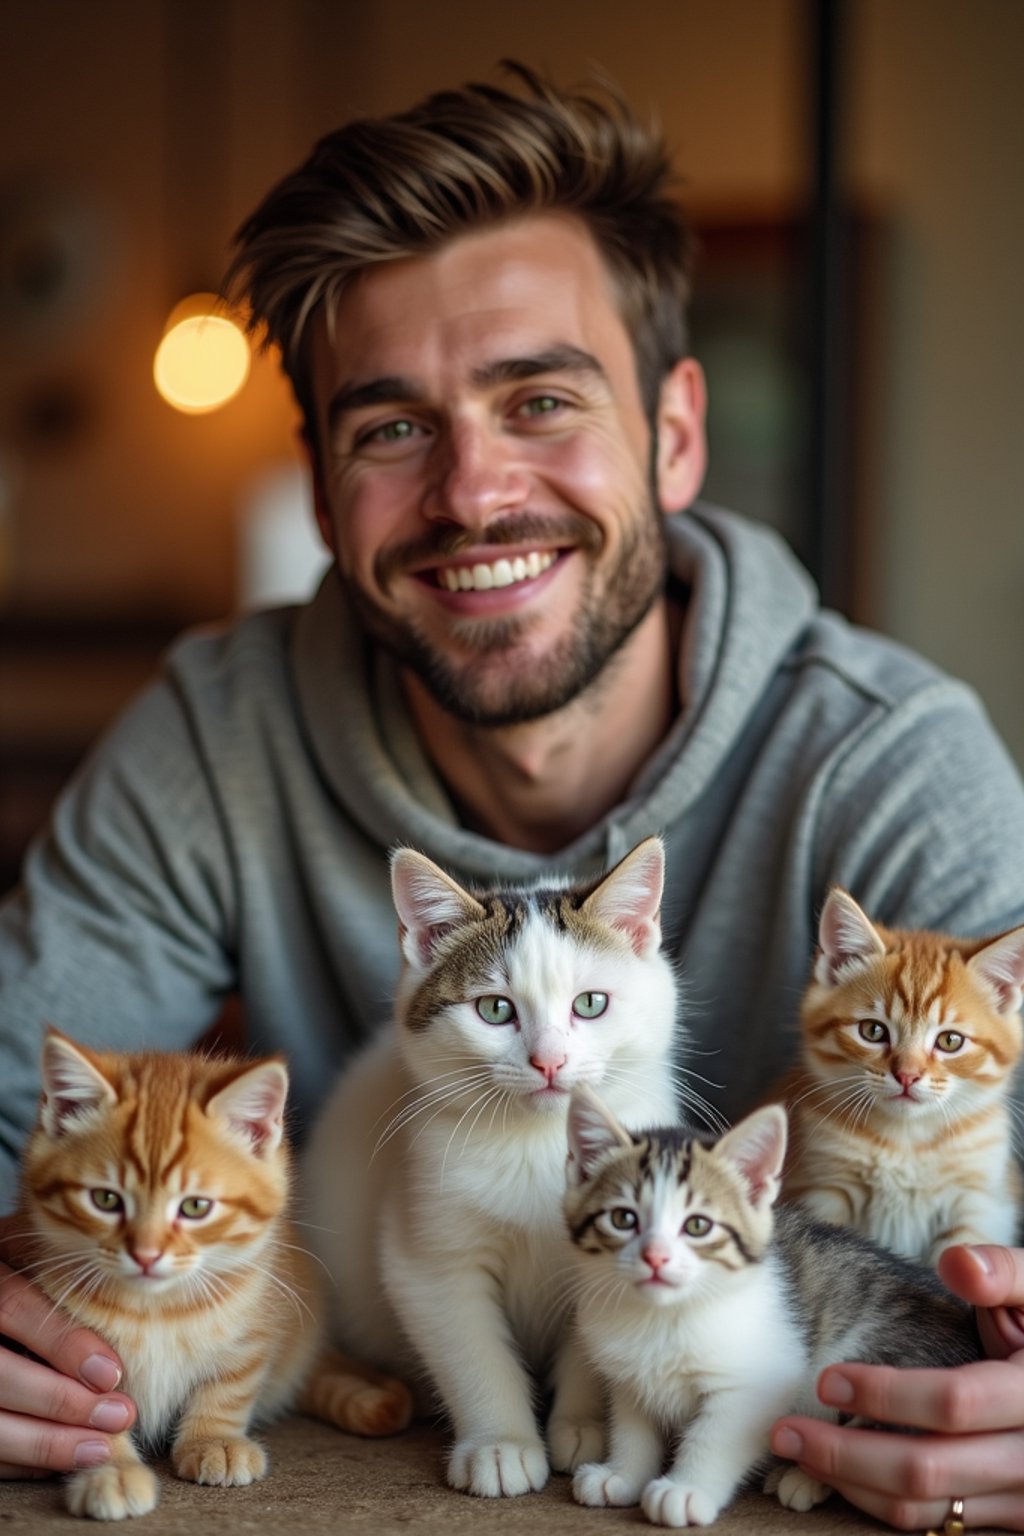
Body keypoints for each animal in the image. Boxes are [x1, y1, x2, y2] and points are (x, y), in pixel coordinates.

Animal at [8, 1032, 411, 1523]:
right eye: (106, 1200)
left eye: (195, 1207)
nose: (146, 1254)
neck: (156, 1307)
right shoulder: (80, 1359)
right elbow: (97, 1415)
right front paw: (112, 1469)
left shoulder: (256, 1323)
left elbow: (231, 1384)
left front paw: (214, 1440)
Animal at [302, 841, 687, 1499]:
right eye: (495, 1009)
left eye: (590, 1004)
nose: (549, 1061)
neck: (537, 1141)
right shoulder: (430, 1255)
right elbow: (471, 1352)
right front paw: (500, 1444)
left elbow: (593, 1341)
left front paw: (582, 1424)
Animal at [564, 1087, 982, 1529]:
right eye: (623, 1218)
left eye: (697, 1225)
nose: (655, 1257)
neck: (662, 1316)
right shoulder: (627, 1375)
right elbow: (632, 1426)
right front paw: (622, 1474)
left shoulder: (763, 1377)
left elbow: (716, 1434)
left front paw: (686, 1489)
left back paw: (803, 1478)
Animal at [779, 890, 1024, 1271]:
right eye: (872, 1031)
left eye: (950, 1041)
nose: (907, 1075)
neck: (906, 1141)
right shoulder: (823, 1188)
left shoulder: (977, 1202)